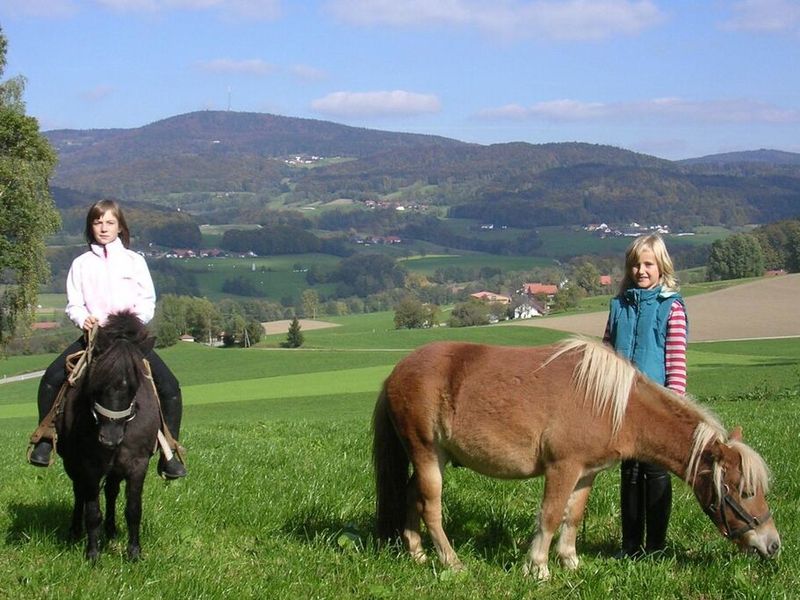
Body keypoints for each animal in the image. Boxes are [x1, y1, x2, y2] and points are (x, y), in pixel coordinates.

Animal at [56, 312, 161, 560]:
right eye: (97, 382)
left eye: (134, 386)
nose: (109, 439)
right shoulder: (90, 465)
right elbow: (92, 510)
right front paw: (93, 554)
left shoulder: (138, 464)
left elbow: (133, 509)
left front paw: (134, 553)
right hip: (73, 464)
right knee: (79, 493)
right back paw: (75, 531)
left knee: (111, 492)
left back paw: (111, 530)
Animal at [376, 338, 780, 576]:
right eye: (745, 492)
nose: (773, 544)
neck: (613, 406)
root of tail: (396, 372)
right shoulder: (563, 468)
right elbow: (551, 515)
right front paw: (537, 567)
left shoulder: (587, 473)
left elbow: (573, 516)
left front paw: (570, 561)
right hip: (427, 454)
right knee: (430, 506)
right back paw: (451, 561)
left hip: (435, 458)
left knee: (411, 497)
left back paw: (417, 553)